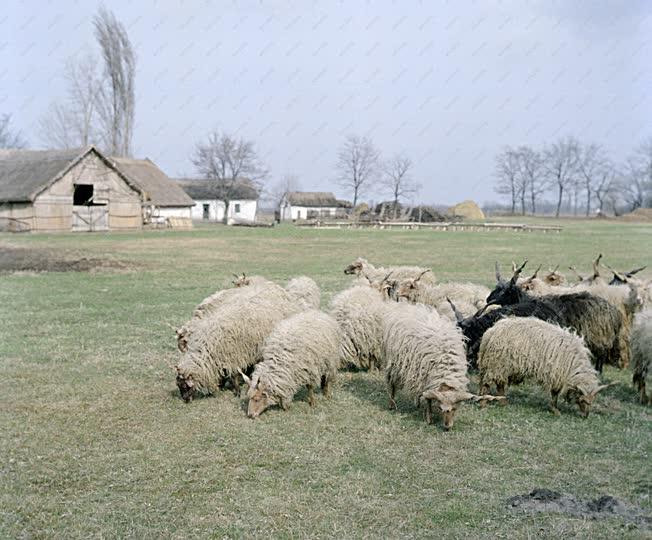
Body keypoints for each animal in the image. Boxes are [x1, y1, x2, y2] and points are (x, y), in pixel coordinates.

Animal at [176, 286, 304, 400]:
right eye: (178, 385)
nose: (185, 400)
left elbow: (234, 376)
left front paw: (237, 392)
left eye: (184, 386)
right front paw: (222, 385)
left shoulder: (234, 356)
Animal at [382, 300, 500, 430]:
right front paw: (428, 418)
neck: (446, 365)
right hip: (393, 362)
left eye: (455, 408)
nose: (447, 427)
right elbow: (427, 399)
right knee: (391, 383)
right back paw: (392, 404)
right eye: (440, 407)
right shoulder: (425, 378)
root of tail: (406, 306)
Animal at [478, 316, 612, 418]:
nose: (585, 416)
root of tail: (491, 331)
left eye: (592, 401)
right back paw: (484, 404)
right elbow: (555, 394)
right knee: (487, 383)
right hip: (496, 364)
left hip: (501, 366)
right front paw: (555, 410)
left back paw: (502, 402)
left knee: (499, 384)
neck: (574, 365)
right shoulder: (557, 375)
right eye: (582, 400)